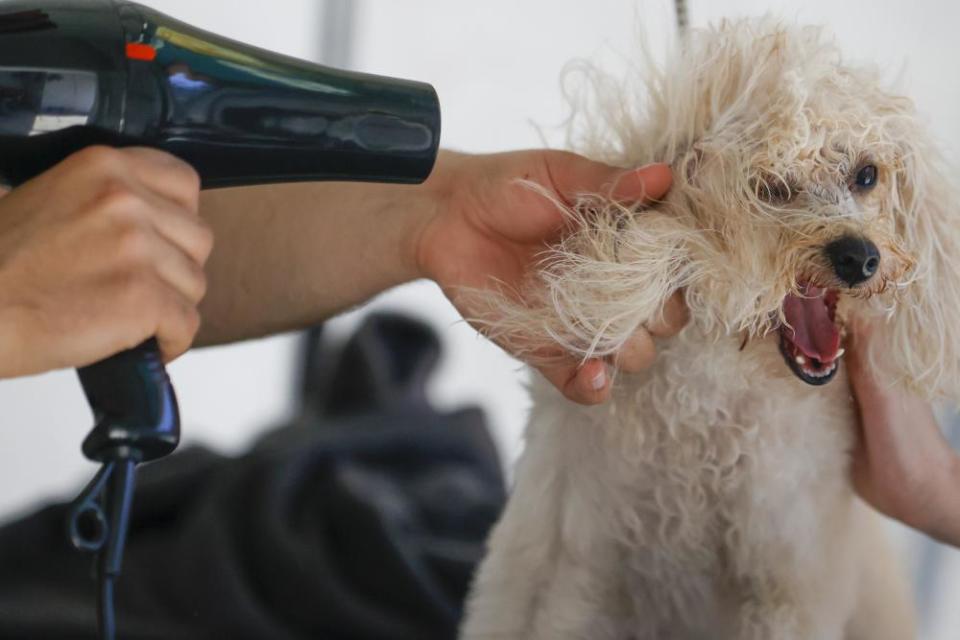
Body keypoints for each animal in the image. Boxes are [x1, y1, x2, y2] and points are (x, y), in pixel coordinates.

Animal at [460, 17, 960, 636]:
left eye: (866, 174)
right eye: (770, 187)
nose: (860, 257)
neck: (709, 413)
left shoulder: (791, 583)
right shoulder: (570, 573)